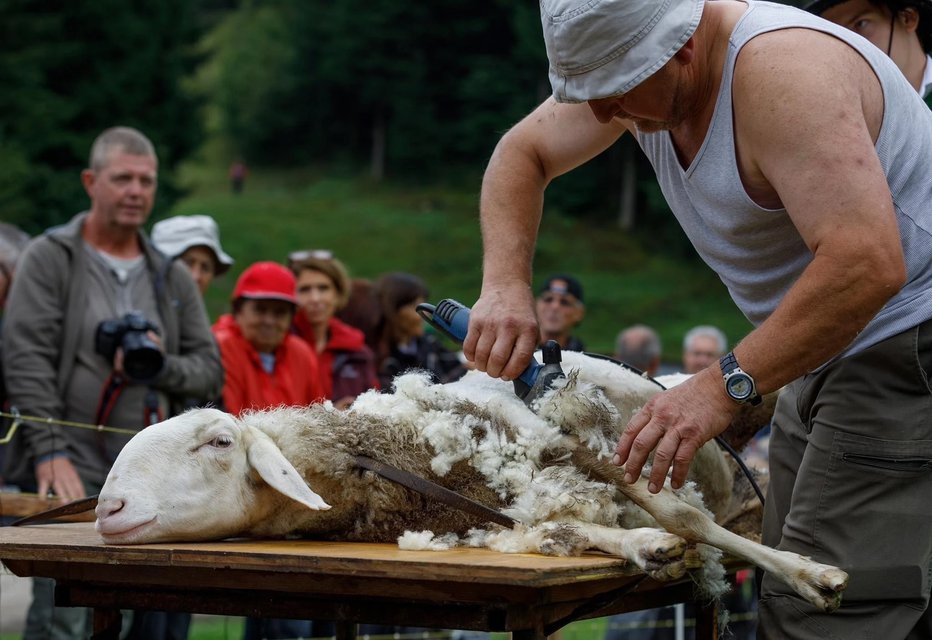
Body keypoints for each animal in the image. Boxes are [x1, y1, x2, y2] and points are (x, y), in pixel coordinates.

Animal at [96, 352, 852, 612]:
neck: (378, 455)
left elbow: (688, 520)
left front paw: (810, 575)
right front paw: (640, 544)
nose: (107, 509)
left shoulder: (567, 443)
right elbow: (560, 529)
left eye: (219, 442)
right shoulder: (473, 515)